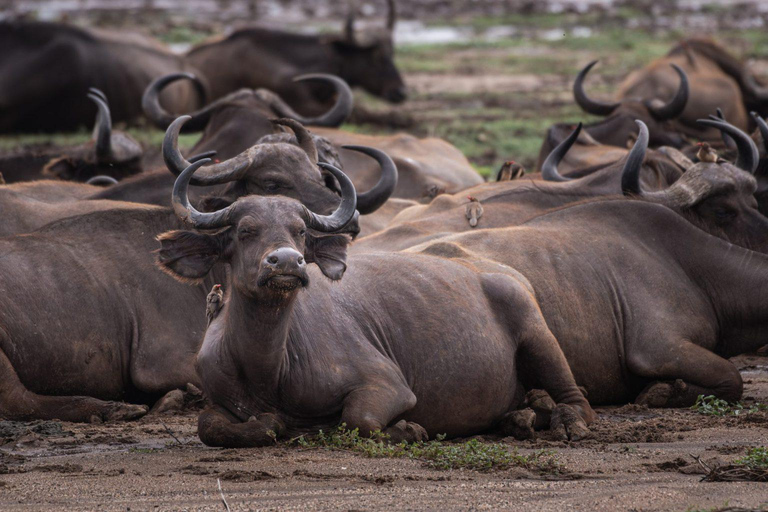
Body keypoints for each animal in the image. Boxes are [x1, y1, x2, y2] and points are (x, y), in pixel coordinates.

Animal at [156, 158, 596, 446]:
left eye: (300, 231)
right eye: (245, 231)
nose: (286, 261)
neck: (268, 369)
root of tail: (501, 272)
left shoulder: (388, 386)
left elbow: (359, 419)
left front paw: (408, 429)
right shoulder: (215, 392)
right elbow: (212, 426)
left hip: (539, 336)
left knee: (579, 398)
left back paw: (568, 422)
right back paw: (520, 417)